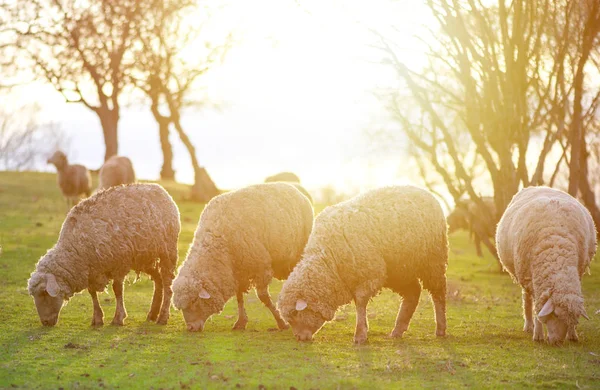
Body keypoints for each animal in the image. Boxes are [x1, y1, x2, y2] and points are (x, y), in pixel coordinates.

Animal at [27, 183, 180, 326]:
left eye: (44, 292)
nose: (45, 322)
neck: (75, 249)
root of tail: (159, 188)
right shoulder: (91, 270)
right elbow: (92, 293)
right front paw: (97, 318)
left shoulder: (119, 263)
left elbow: (117, 290)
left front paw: (118, 318)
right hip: (143, 257)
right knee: (158, 279)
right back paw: (153, 313)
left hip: (167, 249)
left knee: (167, 281)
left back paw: (162, 317)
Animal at [172, 183, 314, 332]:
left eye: (194, 301)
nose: (191, 328)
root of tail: (293, 186)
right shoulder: (238, 271)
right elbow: (239, 296)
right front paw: (241, 321)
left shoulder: (261, 267)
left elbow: (263, 297)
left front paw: (281, 322)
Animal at [276, 186, 446, 344]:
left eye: (295, 314)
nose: (299, 338)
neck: (329, 261)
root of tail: (425, 192)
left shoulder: (369, 274)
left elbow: (360, 303)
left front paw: (360, 335)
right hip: (400, 269)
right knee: (413, 293)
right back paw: (398, 330)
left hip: (433, 260)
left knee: (438, 293)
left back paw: (441, 329)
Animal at [492, 186, 596, 344]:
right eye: (556, 314)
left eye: (573, 319)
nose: (557, 342)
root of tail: (538, 186)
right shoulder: (533, 280)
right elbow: (537, 308)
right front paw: (538, 334)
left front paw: (572, 335)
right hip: (525, 274)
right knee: (527, 300)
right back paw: (529, 326)